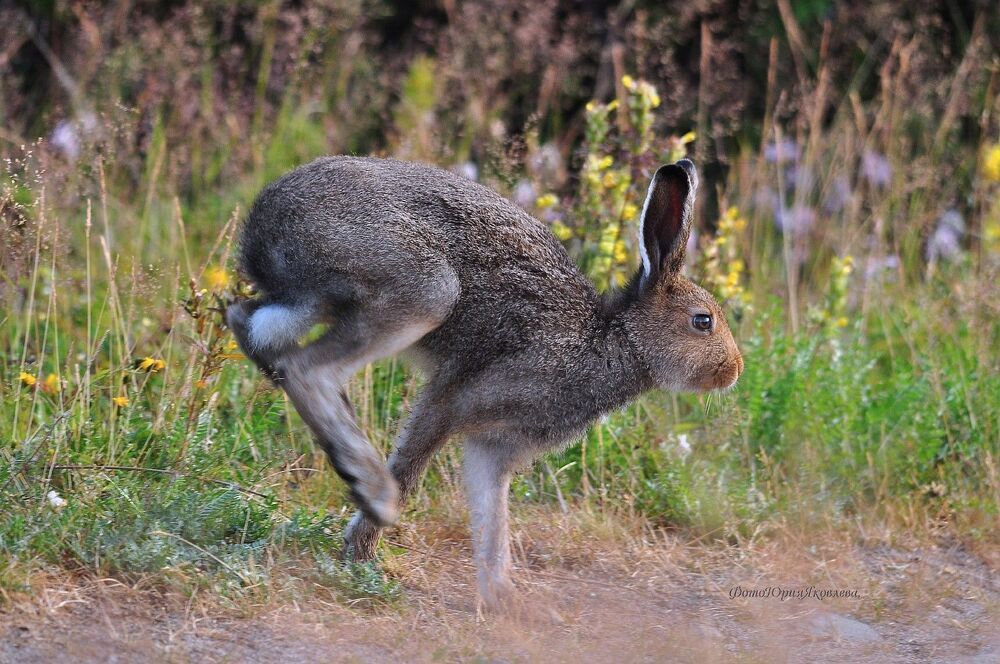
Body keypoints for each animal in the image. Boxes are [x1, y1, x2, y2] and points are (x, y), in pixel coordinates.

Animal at [225, 156, 743, 610]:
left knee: (251, 324)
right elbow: (411, 470)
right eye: (703, 322)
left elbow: (493, 519)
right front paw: (361, 556)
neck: (613, 340)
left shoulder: (493, 446)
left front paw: (506, 602)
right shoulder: (455, 399)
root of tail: (264, 216)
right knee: (308, 369)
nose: (735, 370)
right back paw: (371, 488)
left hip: (311, 300)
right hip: (422, 290)